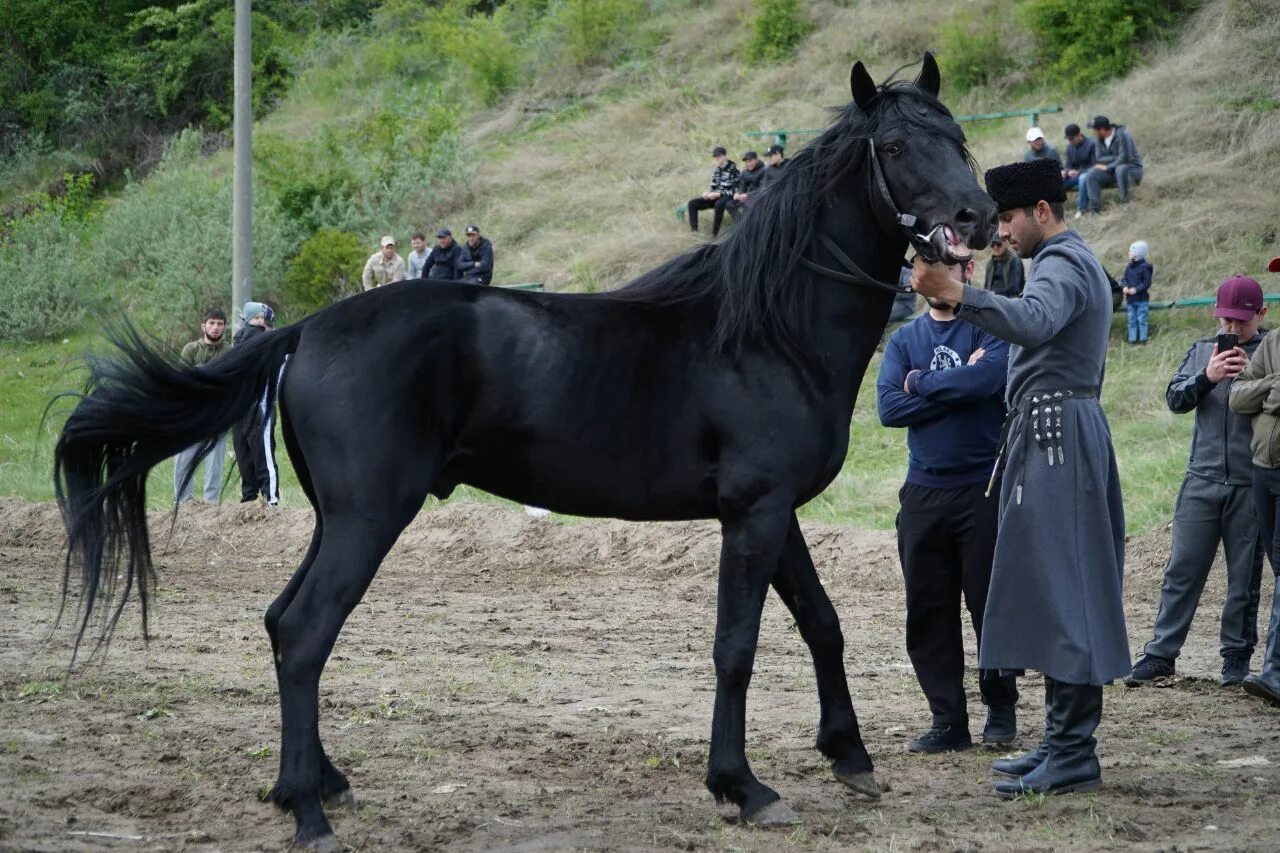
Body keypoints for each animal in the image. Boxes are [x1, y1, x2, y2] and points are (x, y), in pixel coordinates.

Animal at [55, 56, 993, 845]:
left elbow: (822, 622)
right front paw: (743, 784)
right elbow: (738, 644)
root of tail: (306, 328)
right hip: (368, 518)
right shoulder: (753, 512)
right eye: (897, 146)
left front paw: (850, 755)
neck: (767, 330)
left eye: (958, 137)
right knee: (305, 630)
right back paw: (310, 812)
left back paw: (318, 783)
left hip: (336, 519)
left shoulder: (774, 511)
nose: (976, 218)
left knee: (283, 621)